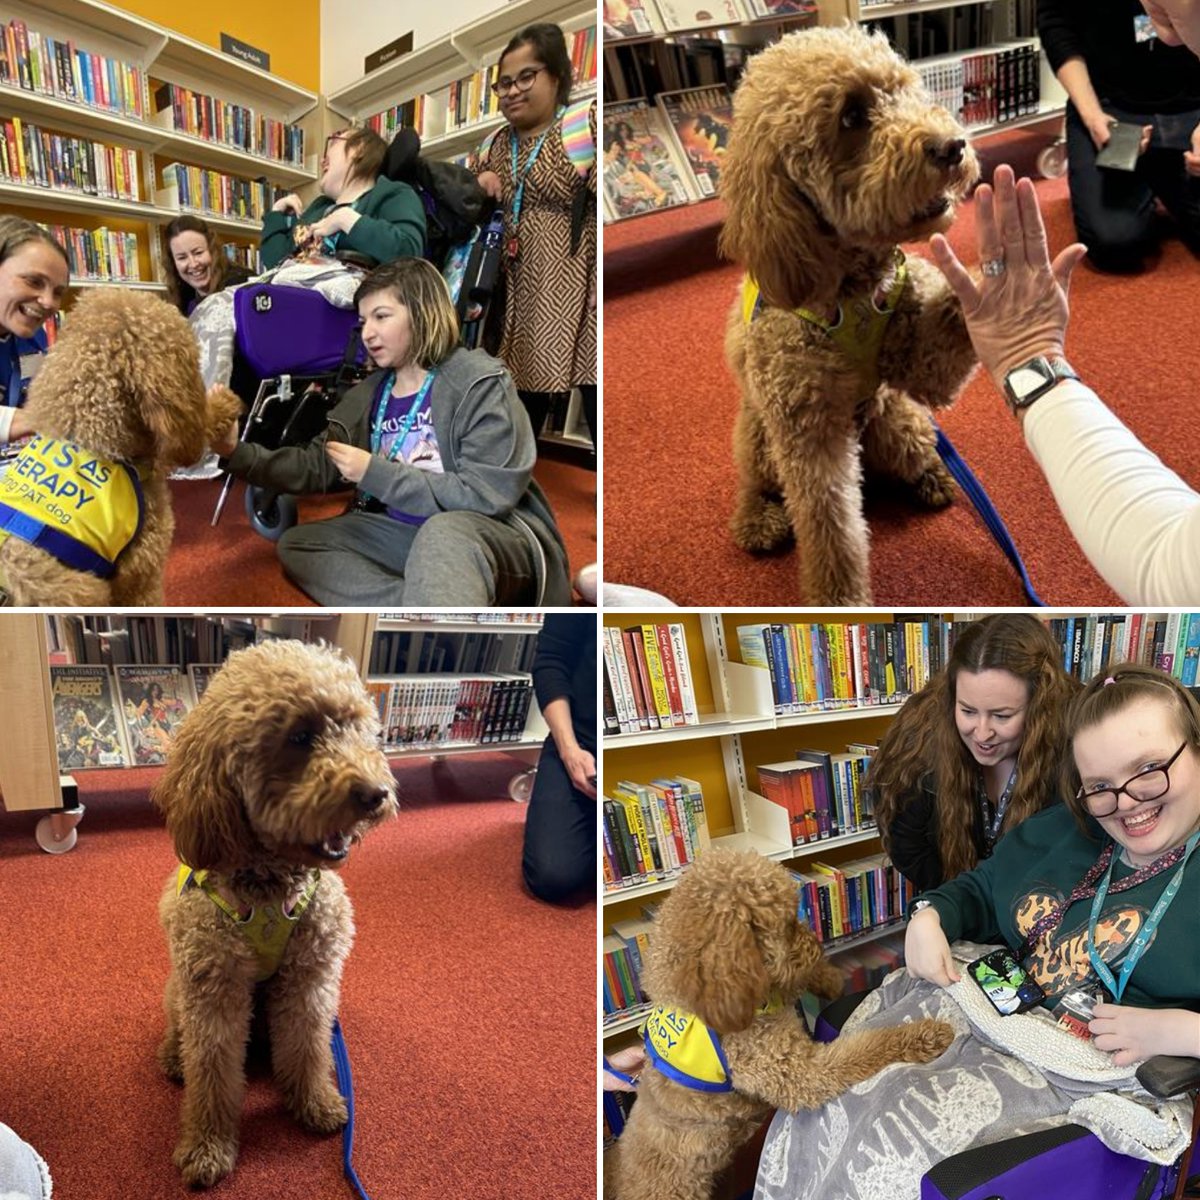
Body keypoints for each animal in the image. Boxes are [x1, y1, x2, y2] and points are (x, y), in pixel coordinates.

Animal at [152, 643, 398, 1185]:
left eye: (358, 729)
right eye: (300, 738)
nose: (376, 792)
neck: (270, 883)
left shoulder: (310, 980)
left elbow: (307, 1047)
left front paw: (316, 1103)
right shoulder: (214, 990)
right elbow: (212, 1074)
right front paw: (207, 1146)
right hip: (179, 988)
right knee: (181, 1034)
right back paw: (173, 1057)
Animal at [604, 849, 950, 1195]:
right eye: (786, 925)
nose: (816, 945)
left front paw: (828, 979)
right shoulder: (798, 1072)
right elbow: (864, 1048)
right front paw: (926, 1034)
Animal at [720, 29, 984, 604]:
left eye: (905, 89)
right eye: (852, 117)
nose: (952, 145)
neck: (851, 285)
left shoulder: (922, 364)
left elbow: (945, 345)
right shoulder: (808, 436)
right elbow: (832, 531)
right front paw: (838, 600)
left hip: (901, 422)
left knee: (911, 452)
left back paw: (934, 476)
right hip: (760, 439)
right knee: (754, 484)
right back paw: (757, 521)